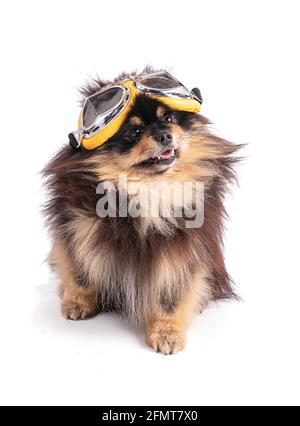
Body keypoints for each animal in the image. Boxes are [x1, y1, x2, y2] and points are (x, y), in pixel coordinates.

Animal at [43, 69, 243, 356]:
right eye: (135, 132)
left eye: (168, 118)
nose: (165, 135)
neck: (148, 190)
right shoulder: (78, 230)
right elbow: (80, 272)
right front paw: (77, 302)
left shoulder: (180, 252)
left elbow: (170, 297)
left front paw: (167, 332)